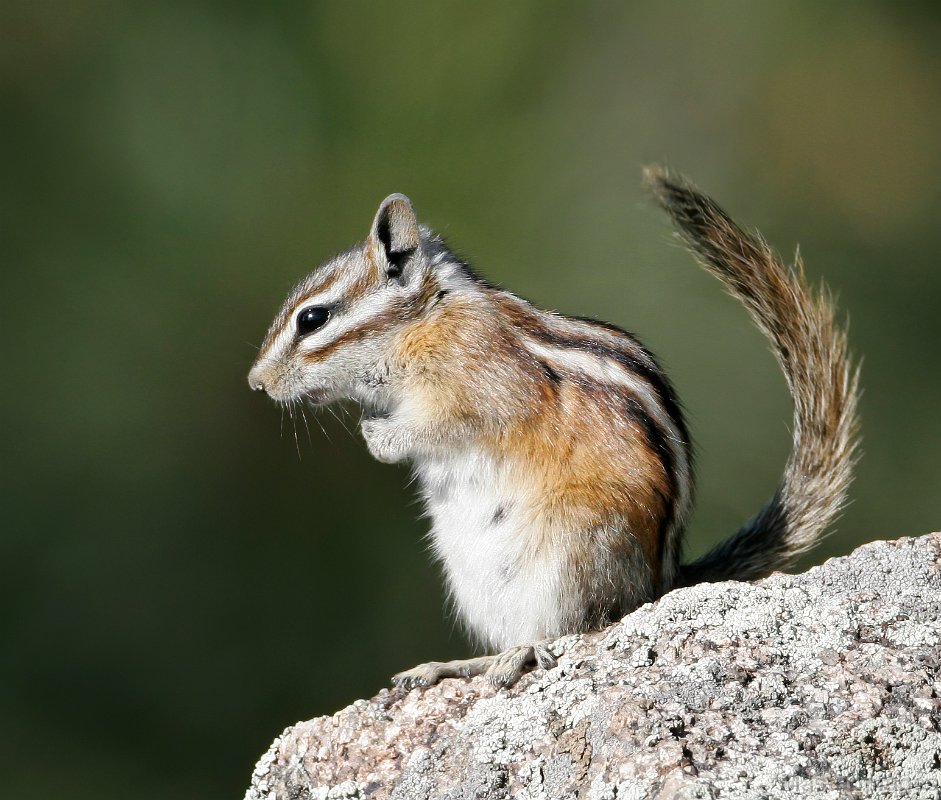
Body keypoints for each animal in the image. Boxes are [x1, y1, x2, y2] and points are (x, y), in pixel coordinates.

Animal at [247, 168, 859, 689]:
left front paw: (379, 437)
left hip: (571, 551)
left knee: (577, 628)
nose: (256, 383)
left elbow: (447, 425)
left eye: (313, 318)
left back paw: (520, 653)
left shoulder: (481, 381)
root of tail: (660, 586)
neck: (427, 319)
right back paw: (454, 665)